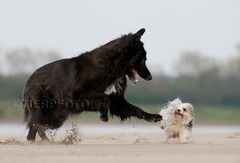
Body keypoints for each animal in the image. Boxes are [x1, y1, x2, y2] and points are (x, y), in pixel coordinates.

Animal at [23, 28, 161, 141]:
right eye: (142, 60)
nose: (150, 77)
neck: (110, 67)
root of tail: (29, 79)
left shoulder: (117, 101)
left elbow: (137, 109)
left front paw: (154, 116)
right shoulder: (79, 95)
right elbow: (105, 98)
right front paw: (104, 116)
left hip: (57, 116)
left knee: (40, 128)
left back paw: (47, 142)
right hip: (43, 110)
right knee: (34, 129)